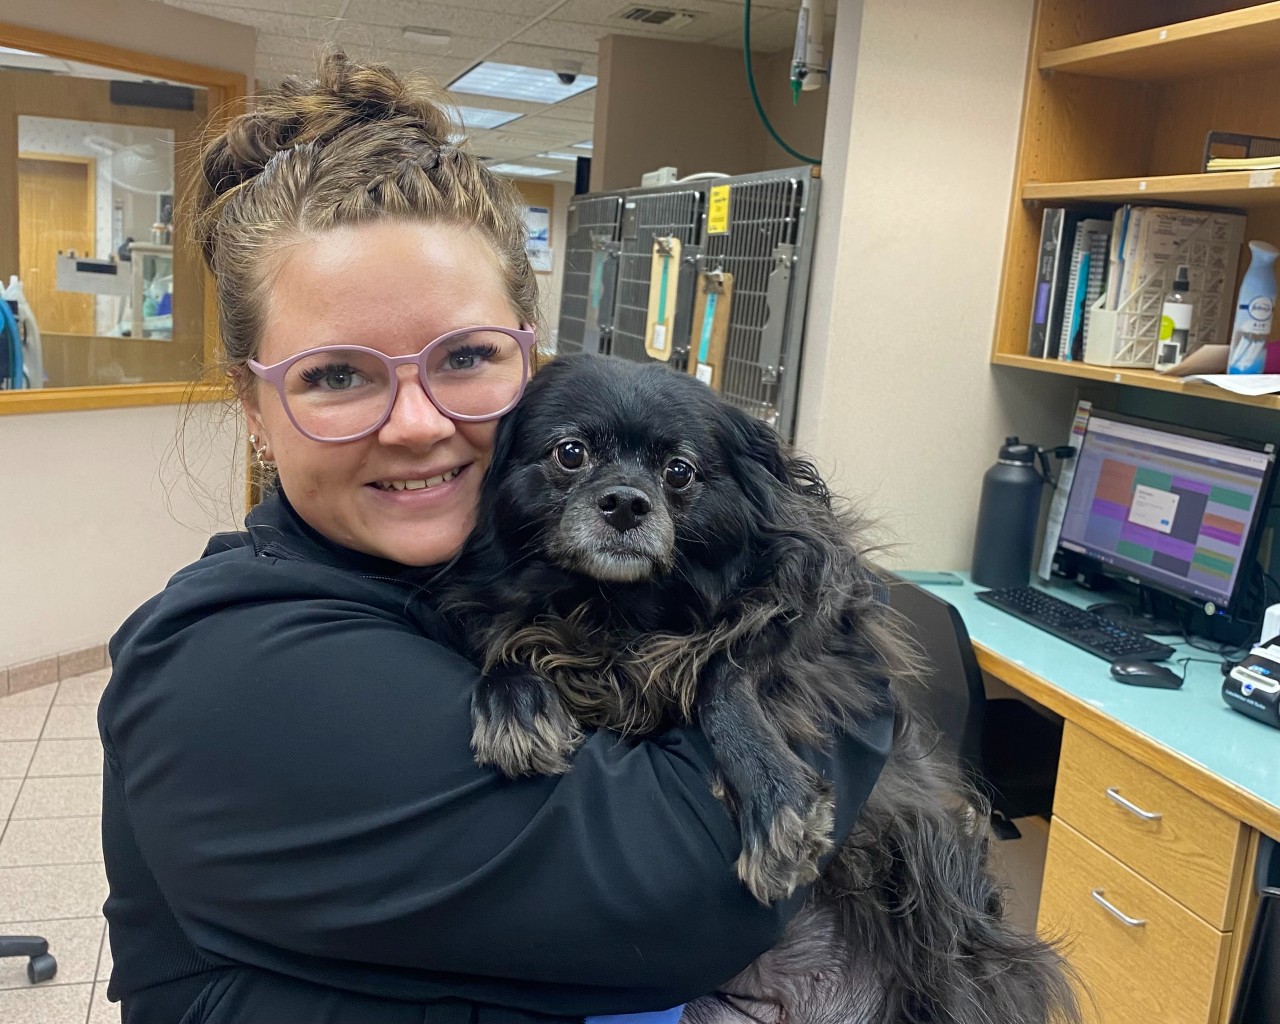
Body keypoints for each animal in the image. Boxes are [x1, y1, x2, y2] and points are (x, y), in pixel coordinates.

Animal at [445, 353, 1075, 1024]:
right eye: (570, 453)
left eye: (679, 471)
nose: (625, 503)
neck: (619, 609)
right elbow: (513, 640)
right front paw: (515, 700)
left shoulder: (823, 627)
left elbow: (723, 669)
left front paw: (774, 792)